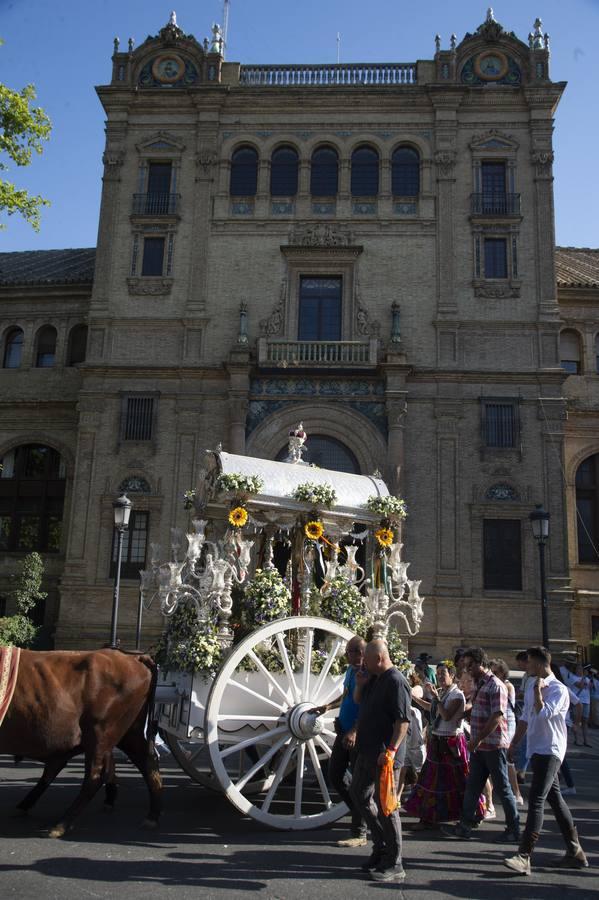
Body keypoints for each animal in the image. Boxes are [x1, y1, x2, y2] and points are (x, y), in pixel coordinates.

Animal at [0, 648, 162, 836]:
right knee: (148, 762)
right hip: (129, 733)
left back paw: (61, 824)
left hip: (100, 733)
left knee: (94, 777)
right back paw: (152, 816)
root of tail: (133, 656)